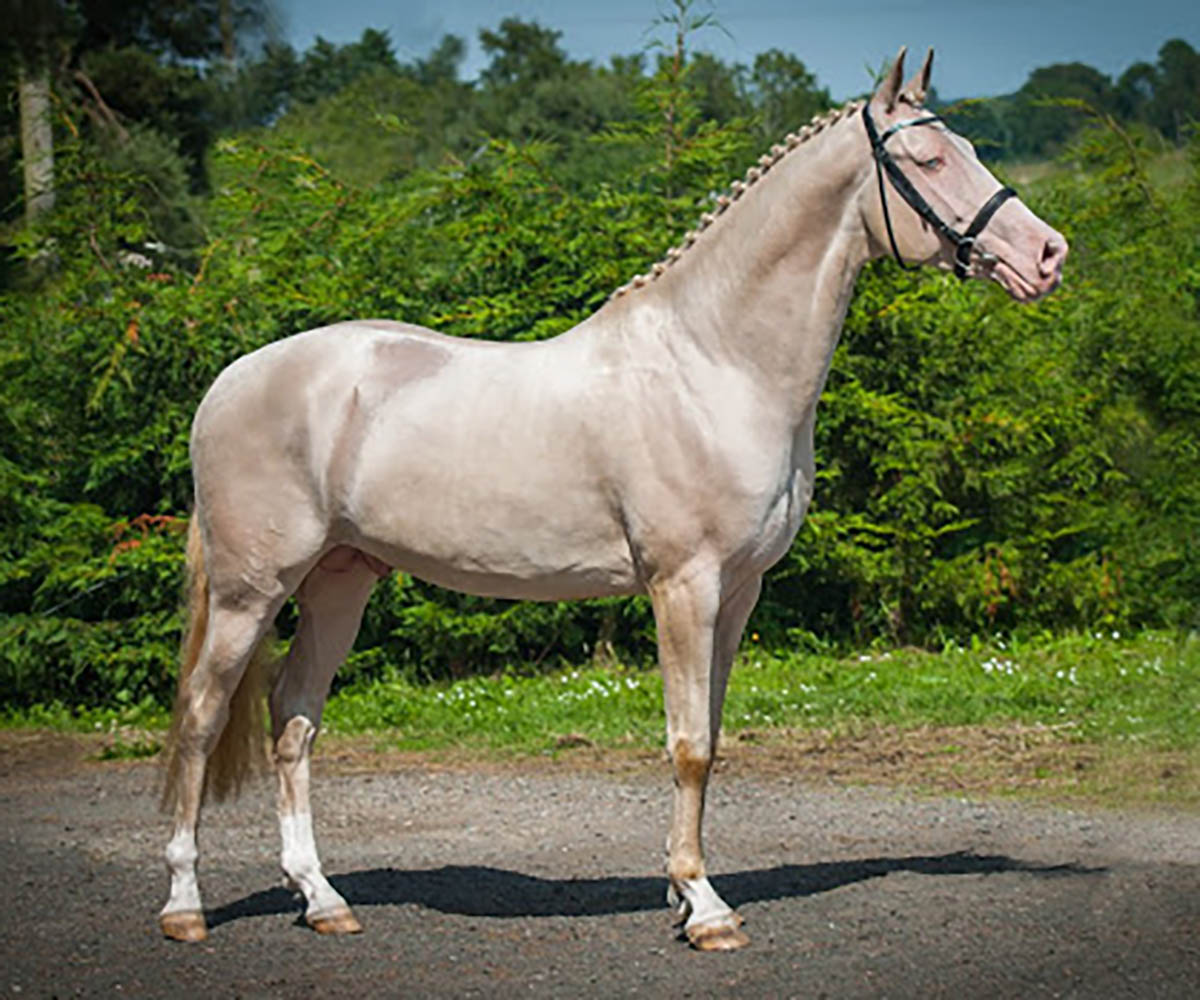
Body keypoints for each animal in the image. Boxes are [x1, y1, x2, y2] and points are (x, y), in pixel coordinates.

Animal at [159, 48, 1070, 950]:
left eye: (969, 147)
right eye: (929, 160)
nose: (1049, 255)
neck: (714, 362)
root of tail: (230, 381)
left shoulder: (740, 591)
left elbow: (712, 734)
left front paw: (683, 891)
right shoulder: (684, 585)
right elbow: (688, 744)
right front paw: (704, 908)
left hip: (340, 580)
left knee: (292, 718)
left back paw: (322, 899)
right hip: (250, 590)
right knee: (202, 715)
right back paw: (185, 907)